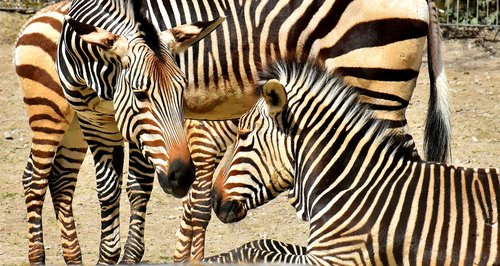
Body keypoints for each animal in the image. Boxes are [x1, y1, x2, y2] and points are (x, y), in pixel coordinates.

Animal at [208, 59, 500, 264]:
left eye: (244, 135)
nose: (213, 200)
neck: (352, 187)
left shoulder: (334, 257)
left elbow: (258, 248)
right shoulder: (320, 250)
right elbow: (264, 245)